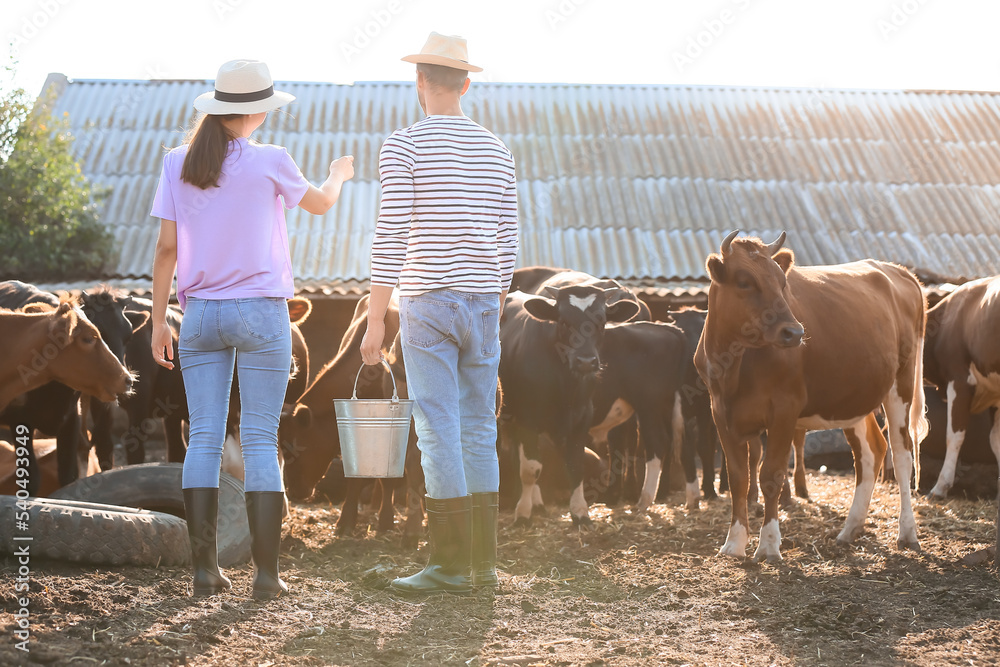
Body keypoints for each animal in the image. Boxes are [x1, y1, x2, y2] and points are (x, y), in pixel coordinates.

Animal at [500, 288, 640, 528]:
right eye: (564, 322)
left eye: (601, 322)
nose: (585, 361)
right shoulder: (528, 418)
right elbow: (530, 469)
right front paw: (523, 514)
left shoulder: (582, 417)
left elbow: (576, 466)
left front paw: (580, 513)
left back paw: (539, 503)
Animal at [696, 232, 928, 560]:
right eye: (744, 281)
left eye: (782, 282)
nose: (794, 332)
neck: (734, 367)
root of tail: (899, 271)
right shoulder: (720, 412)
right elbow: (739, 477)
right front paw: (734, 544)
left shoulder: (784, 409)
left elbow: (771, 475)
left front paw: (768, 545)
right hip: (855, 397)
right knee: (871, 452)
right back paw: (850, 529)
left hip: (901, 384)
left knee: (902, 453)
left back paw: (907, 533)